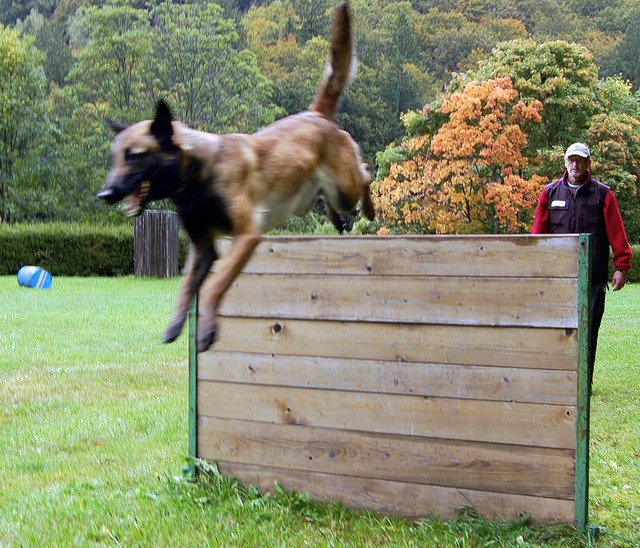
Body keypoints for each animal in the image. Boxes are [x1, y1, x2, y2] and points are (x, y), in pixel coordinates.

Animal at [97, 2, 372, 352]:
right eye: (115, 158)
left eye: (134, 156)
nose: (105, 195)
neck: (197, 174)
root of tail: (316, 114)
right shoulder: (204, 249)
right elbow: (185, 288)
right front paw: (175, 324)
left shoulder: (246, 236)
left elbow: (215, 285)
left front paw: (207, 330)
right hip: (312, 197)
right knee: (335, 195)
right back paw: (337, 218)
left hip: (345, 187)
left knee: (365, 174)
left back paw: (369, 208)